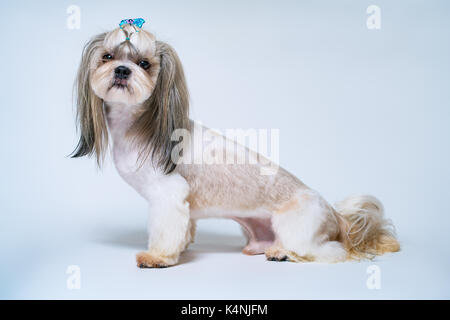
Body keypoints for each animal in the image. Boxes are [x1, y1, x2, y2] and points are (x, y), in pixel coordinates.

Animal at [72, 18, 400, 268]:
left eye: (144, 63)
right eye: (107, 57)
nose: (122, 70)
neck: (141, 125)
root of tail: (335, 215)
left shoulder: (168, 194)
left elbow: (165, 229)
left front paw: (158, 257)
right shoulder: (182, 205)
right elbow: (184, 227)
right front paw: (182, 247)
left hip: (298, 227)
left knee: (329, 251)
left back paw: (284, 253)